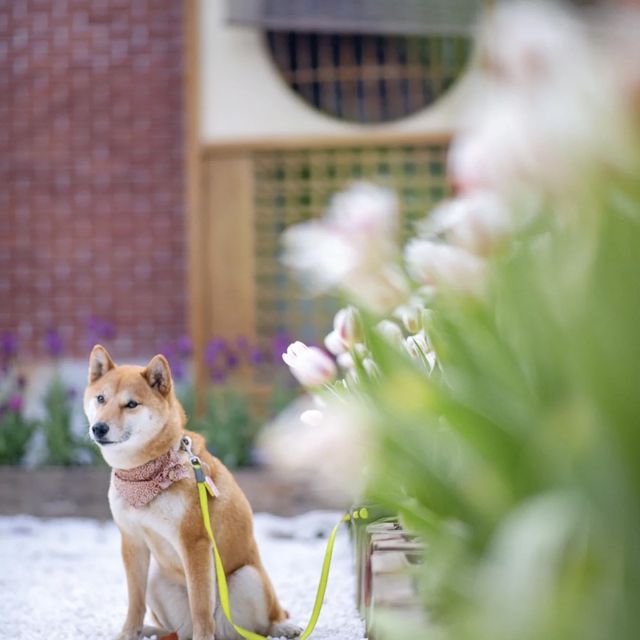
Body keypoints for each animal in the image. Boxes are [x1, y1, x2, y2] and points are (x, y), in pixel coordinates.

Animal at [84, 344, 302, 640]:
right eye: (101, 399)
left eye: (131, 404)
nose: (99, 428)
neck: (144, 474)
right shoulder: (132, 541)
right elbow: (135, 600)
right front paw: (129, 632)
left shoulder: (194, 542)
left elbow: (200, 604)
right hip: (157, 579)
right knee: (175, 628)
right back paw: (152, 629)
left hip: (248, 577)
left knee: (264, 622)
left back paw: (283, 626)